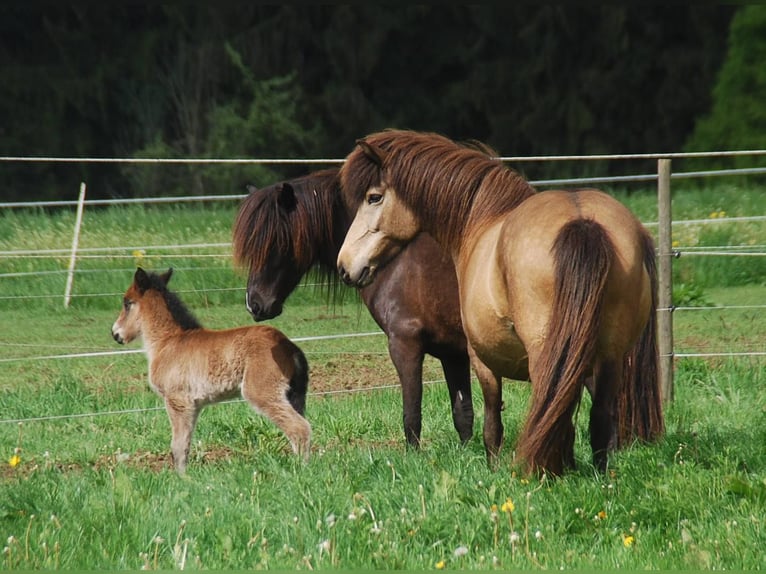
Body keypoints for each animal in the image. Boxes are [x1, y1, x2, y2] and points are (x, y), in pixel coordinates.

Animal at [111, 267, 311, 474]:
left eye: (127, 303)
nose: (115, 334)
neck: (167, 342)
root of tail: (290, 347)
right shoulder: (193, 405)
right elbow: (186, 444)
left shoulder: (177, 401)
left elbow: (177, 446)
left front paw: (181, 478)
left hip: (262, 392)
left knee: (299, 428)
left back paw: (301, 470)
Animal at [231, 168, 476, 447]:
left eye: (276, 242)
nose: (254, 304)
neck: (396, 259)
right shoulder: (452, 353)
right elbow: (463, 415)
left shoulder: (405, 346)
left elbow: (412, 416)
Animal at [337, 129, 664, 476]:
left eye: (374, 197)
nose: (345, 265)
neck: (481, 221)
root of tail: (582, 222)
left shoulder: (480, 358)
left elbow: (491, 424)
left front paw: (493, 469)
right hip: (611, 356)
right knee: (598, 420)